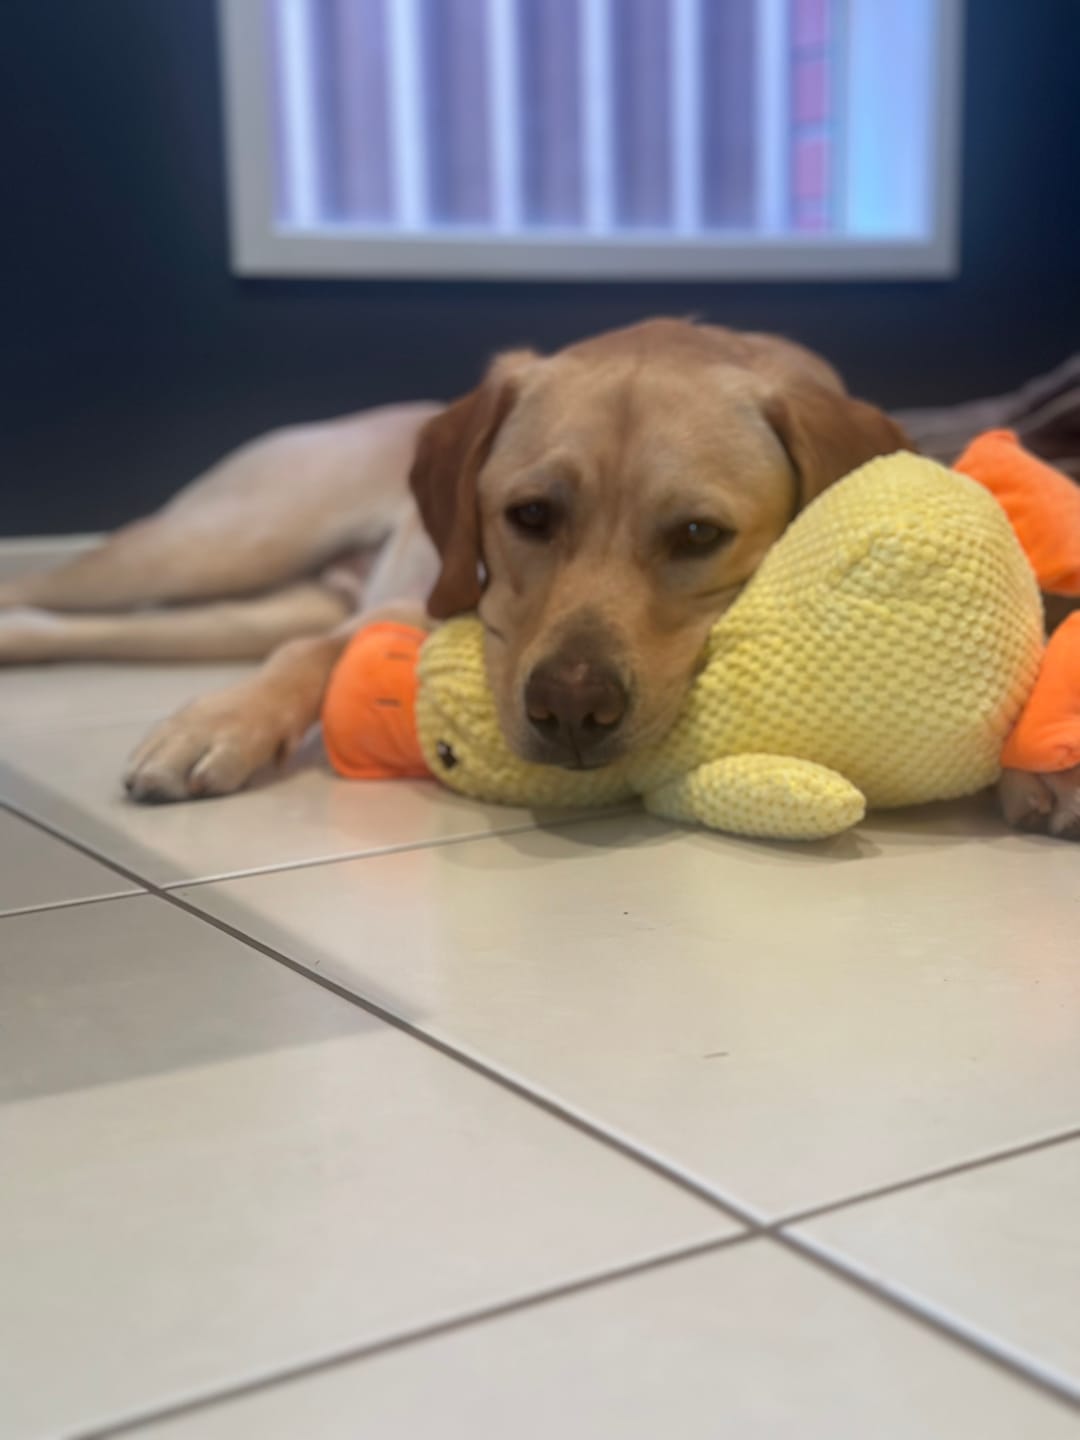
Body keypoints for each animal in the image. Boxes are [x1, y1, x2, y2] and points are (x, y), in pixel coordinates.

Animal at [4, 315, 1077, 835]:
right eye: (529, 516)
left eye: (698, 534)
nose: (570, 709)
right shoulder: (417, 600)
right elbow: (310, 657)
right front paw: (217, 724)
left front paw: (1043, 772)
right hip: (216, 541)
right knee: (70, 592)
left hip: (222, 601)